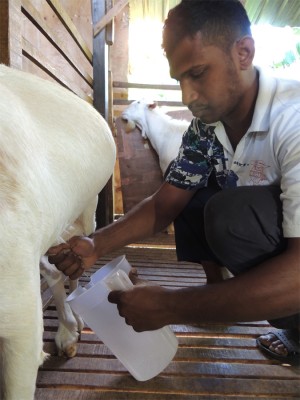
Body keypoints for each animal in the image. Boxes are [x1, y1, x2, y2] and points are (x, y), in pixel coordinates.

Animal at [0, 65, 116, 400]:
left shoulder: (19, 314)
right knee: (54, 269)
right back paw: (67, 332)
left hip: (87, 208)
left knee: (76, 262)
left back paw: (73, 325)